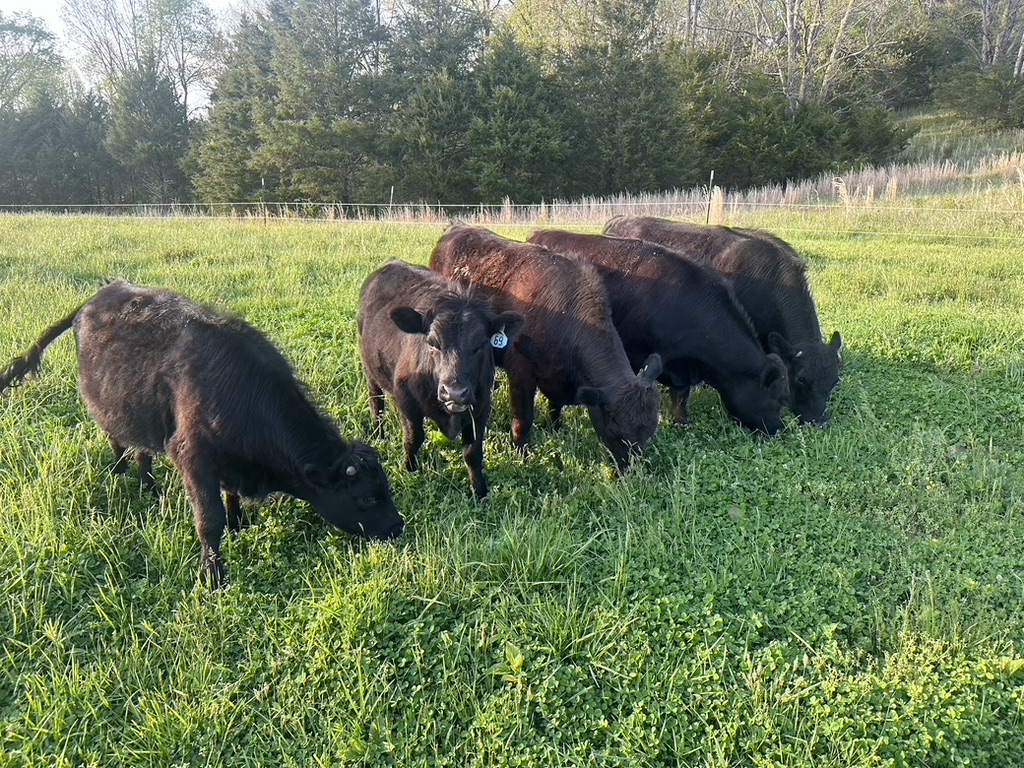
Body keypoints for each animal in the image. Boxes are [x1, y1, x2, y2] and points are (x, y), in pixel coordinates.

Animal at [0, 280, 404, 587]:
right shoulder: (193, 456)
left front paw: (239, 525)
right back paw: (120, 473)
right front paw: (214, 575)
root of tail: (97, 297)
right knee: (116, 440)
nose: (398, 526)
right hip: (106, 408)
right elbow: (209, 520)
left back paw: (151, 488)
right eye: (367, 498)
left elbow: (230, 498)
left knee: (143, 450)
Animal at [357, 260, 525, 498]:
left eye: (481, 344)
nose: (455, 392)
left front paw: (479, 491)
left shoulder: (481, 406)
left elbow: (473, 451)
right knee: (376, 403)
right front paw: (409, 470)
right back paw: (379, 434)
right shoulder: (406, 401)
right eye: (432, 343)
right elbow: (413, 439)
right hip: (370, 370)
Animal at [429, 224, 663, 472]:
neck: (566, 316)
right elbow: (523, 421)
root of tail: (457, 228)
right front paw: (521, 454)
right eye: (616, 432)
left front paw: (555, 430)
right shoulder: (521, 370)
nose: (630, 473)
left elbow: (555, 407)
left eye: (649, 433)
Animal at [527, 229, 790, 435]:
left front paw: (681, 423)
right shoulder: (638, 354)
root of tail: (539, 234)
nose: (779, 430)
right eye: (778, 401)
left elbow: (681, 395)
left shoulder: (681, 368)